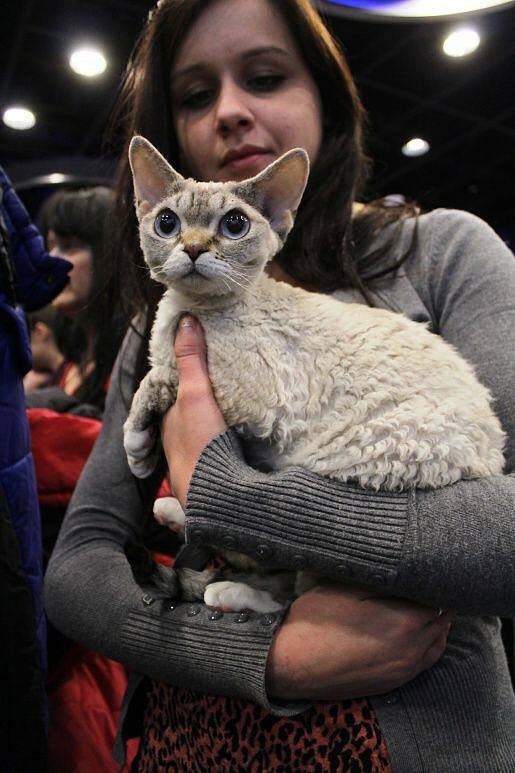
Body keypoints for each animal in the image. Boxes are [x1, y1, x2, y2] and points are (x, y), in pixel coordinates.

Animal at [124, 136, 504, 612]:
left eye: (234, 225)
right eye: (167, 222)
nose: (193, 248)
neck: (189, 311)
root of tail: (493, 457)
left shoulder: (253, 395)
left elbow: (159, 376)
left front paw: (136, 444)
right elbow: (155, 372)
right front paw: (142, 451)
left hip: (348, 456)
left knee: (290, 580)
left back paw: (228, 586)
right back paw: (181, 519)